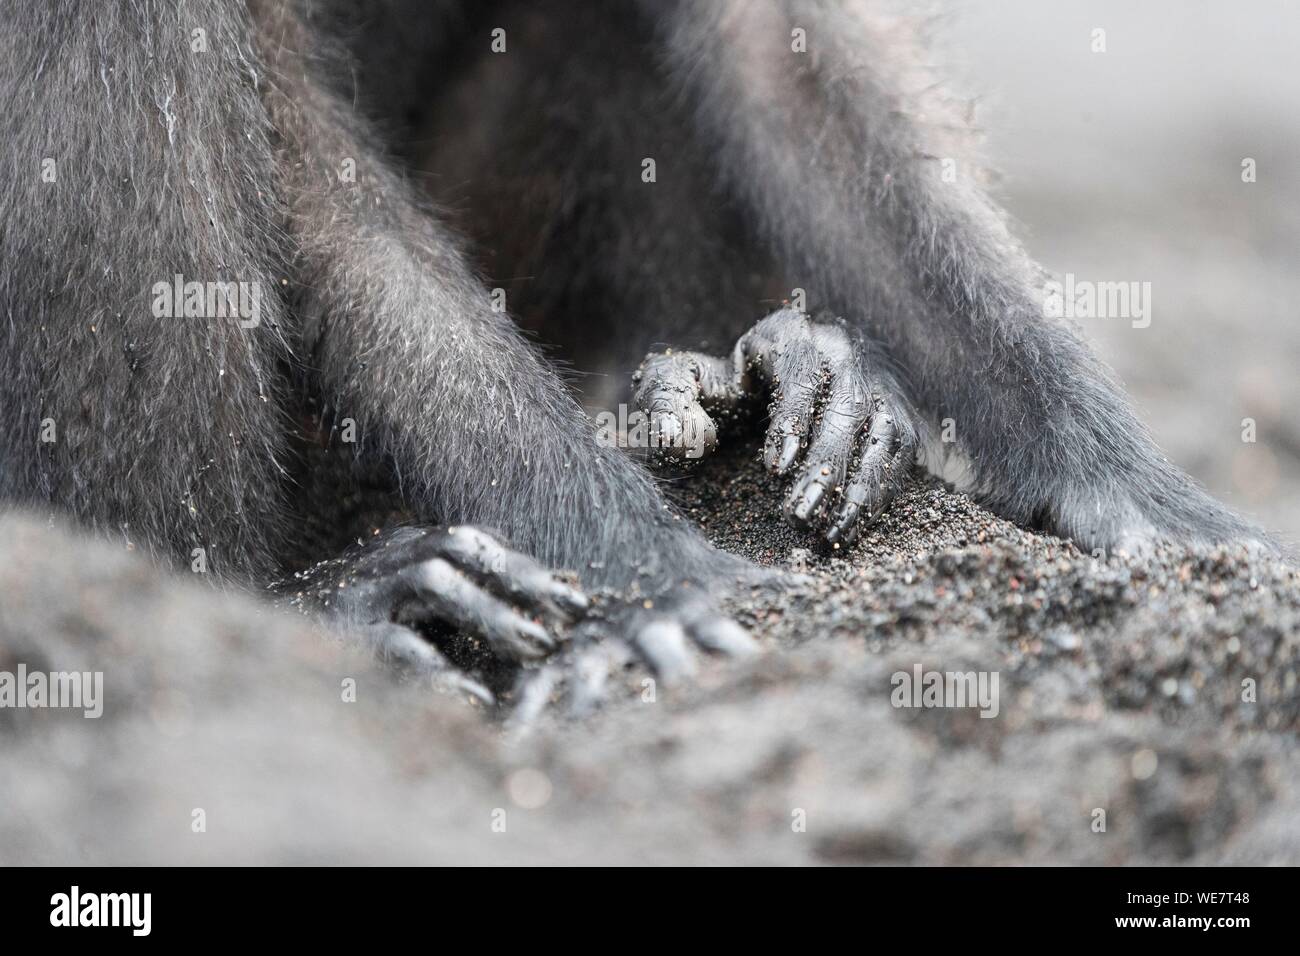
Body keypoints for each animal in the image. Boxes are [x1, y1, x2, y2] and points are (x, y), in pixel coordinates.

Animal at [0, 1, 1271, 704]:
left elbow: (766, 30)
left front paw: (1125, 488)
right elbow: (302, 142)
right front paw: (644, 566)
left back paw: (755, 378)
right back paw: (253, 600)